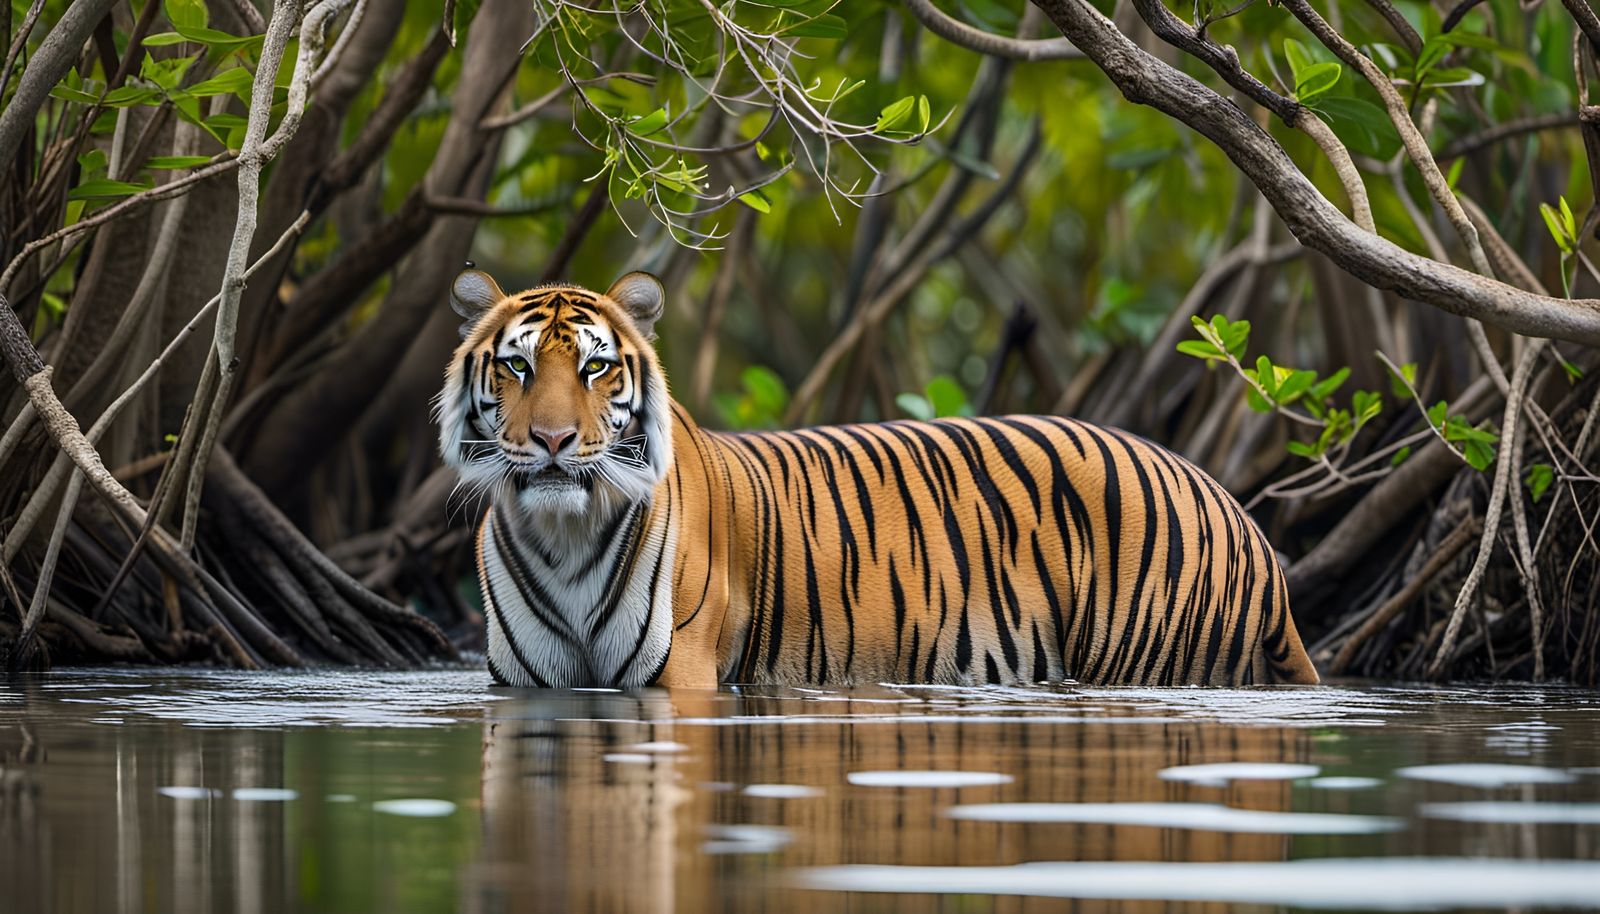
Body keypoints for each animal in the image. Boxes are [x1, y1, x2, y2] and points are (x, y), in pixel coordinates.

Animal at [435, 268, 1319, 690]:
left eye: (595, 368)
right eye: (517, 367)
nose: (553, 440)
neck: (563, 534)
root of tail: (1241, 514)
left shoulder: (677, 678)